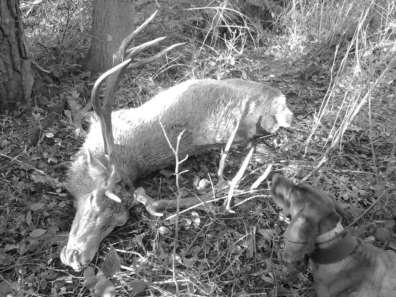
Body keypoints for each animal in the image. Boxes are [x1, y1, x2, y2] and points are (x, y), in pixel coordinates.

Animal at [59, 11, 294, 270]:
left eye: (118, 223)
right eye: (94, 200)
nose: (76, 257)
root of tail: (281, 107)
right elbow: (81, 117)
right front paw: (72, 105)